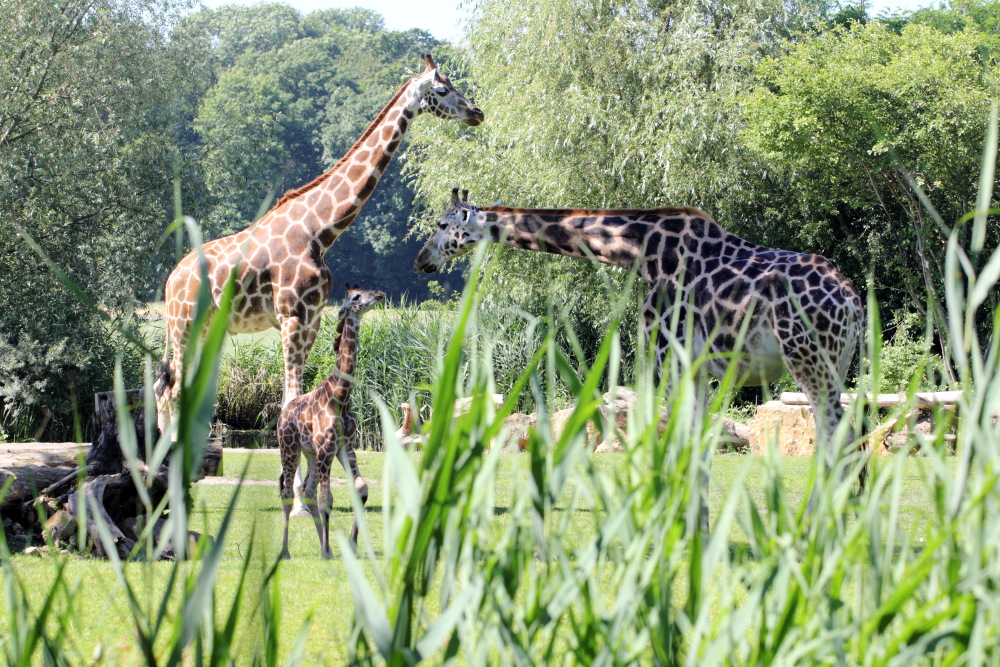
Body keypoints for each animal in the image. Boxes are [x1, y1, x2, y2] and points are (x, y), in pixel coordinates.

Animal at [154, 54, 483, 431]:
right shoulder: (292, 317)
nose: (476, 113)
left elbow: (295, 400)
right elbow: (289, 401)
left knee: (168, 389)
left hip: (206, 329)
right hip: (185, 327)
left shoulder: (313, 319)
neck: (320, 231)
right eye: (442, 90)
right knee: (171, 391)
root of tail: (170, 281)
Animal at [277, 285, 384, 559]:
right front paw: (330, 548)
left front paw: (352, 544)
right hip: (289, 448)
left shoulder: (345, 446)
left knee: (308, 491)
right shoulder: (327, 448)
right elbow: (328, 499)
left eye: (366, 290)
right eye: (356, 297)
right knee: (287, 492)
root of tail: (283, 415)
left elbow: (361, 489)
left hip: (310, 455)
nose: (379, 294)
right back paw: (286, 552)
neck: (340, 395)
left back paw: (326, 549)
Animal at [414, 189, 867, 489]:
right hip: (837, 364)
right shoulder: (697, 370)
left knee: (837, 442)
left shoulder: (669, 358)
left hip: (810, 362)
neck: (641, 252)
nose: (421, 260)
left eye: (442, 225)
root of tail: (853, 303)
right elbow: (697, 453)